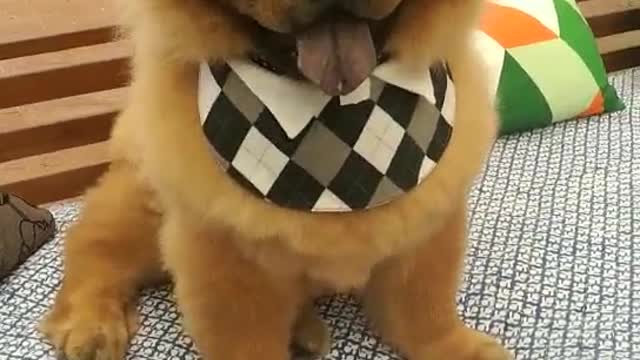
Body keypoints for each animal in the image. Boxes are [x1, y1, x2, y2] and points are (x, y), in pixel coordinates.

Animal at [38, 0, 510, 360]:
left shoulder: (424, 222)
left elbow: (424, 310)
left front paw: (456, 349)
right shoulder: (226, 258)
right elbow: (246, 340)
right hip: (142, 205)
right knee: (93, 250)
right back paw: (91, 324)